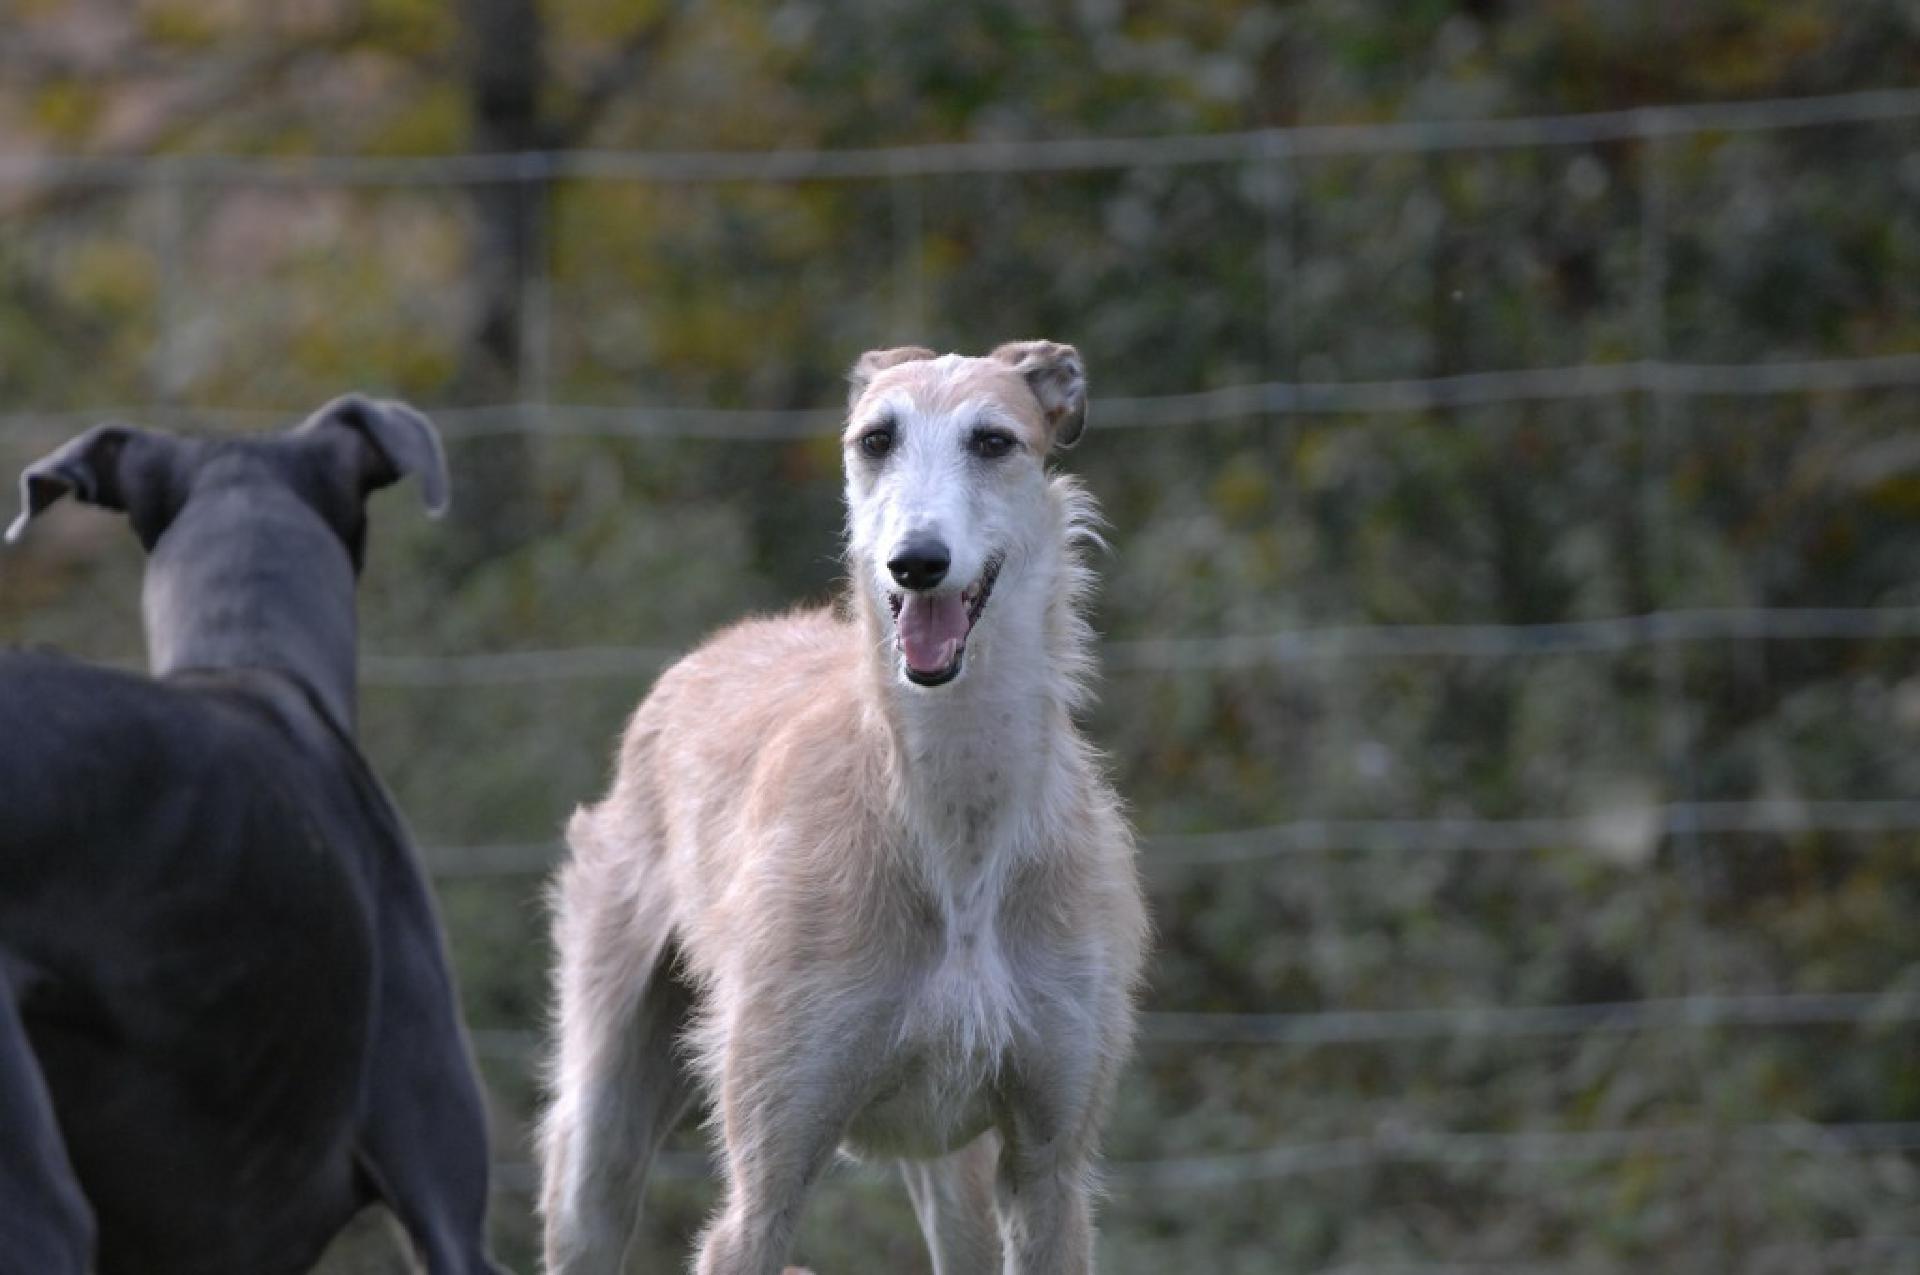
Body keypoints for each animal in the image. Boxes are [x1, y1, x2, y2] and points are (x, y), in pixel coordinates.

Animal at [541, 343, 1136, 1267]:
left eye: (994, 440)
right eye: (875, 438)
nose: (916, 562)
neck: (953, 840)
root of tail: (716, 646)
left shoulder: (1051, 1173)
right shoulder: (763, 1191)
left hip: (958, 1179)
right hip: (601, 1126)